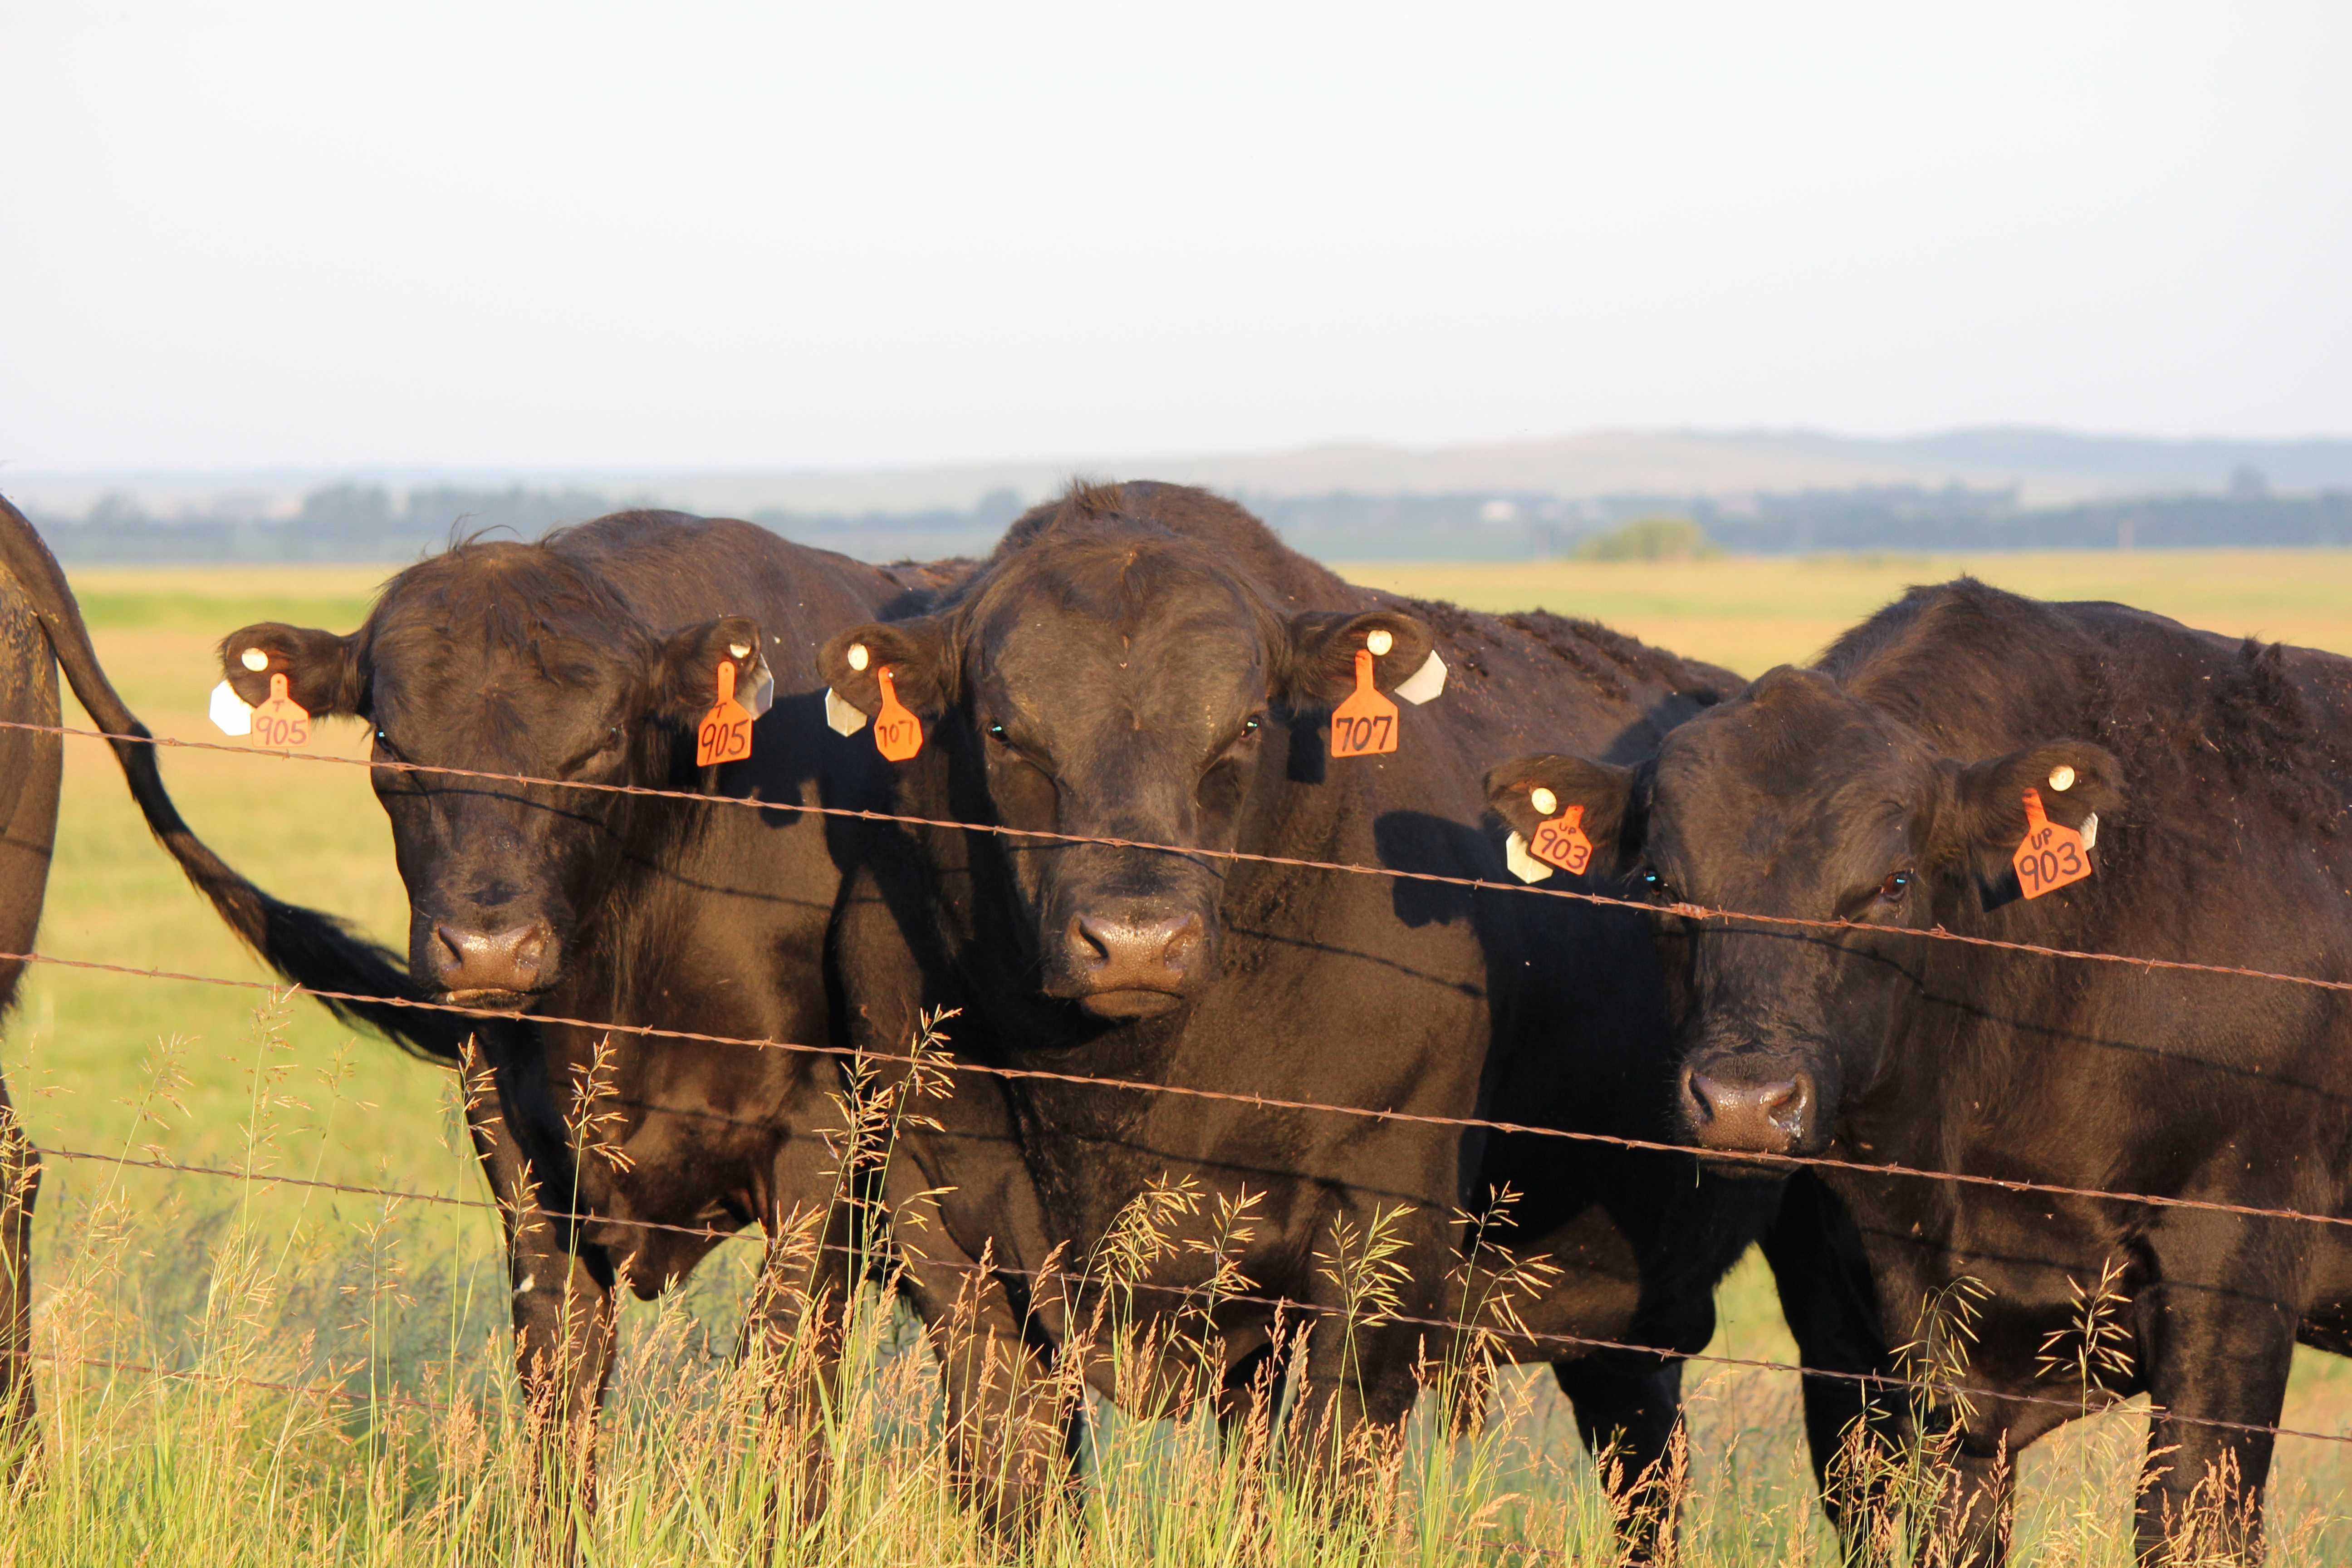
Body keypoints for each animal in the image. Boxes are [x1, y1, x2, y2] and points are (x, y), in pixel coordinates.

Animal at [818, 482, 1882, 1533]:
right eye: (1004, 731)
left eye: (1246, 726)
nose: (1137, 938)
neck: (1119, 1099)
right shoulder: (942, 1222)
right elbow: (1016, 1475)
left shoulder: (1384, 1230)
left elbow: (1330, 1479)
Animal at [1496, 583, 2352, 1561]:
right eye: (1657, 883)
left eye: (1892, 884)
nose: (1746, 1103)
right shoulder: (1902, 1331)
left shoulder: (2236, 1258)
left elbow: (2187, 1521)